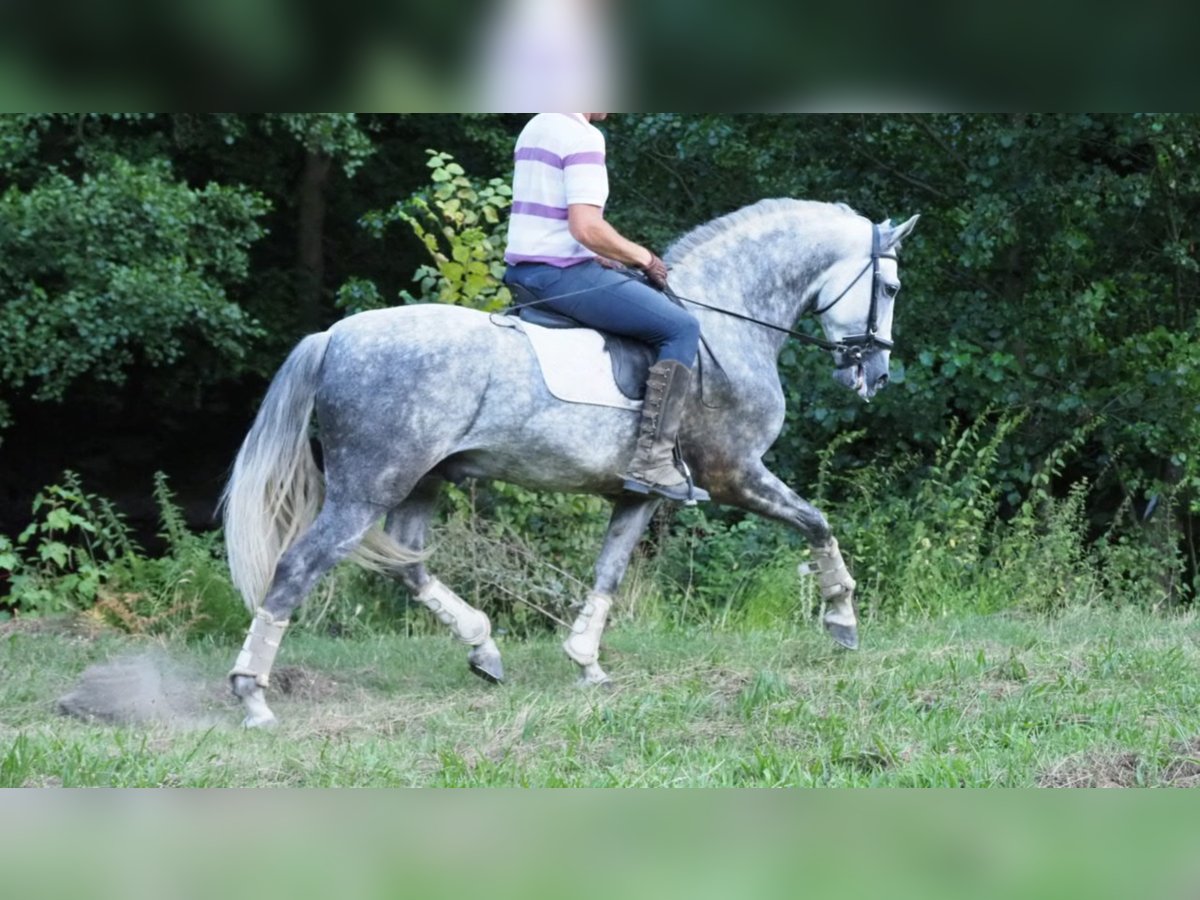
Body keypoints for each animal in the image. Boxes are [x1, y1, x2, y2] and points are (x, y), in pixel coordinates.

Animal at [223, 200, 916, 729]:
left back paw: (484, 648)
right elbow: (818, 522)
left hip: (420, 482)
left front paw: (586, 661)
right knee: (298, 568)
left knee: (409, 564)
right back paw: (253, 697)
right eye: (889, 288)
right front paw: (843, 620)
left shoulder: (641, 494)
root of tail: (335, 337)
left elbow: (609, 571)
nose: (877, 374)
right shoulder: (736, 474)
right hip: (367, 488)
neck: (726, 319)